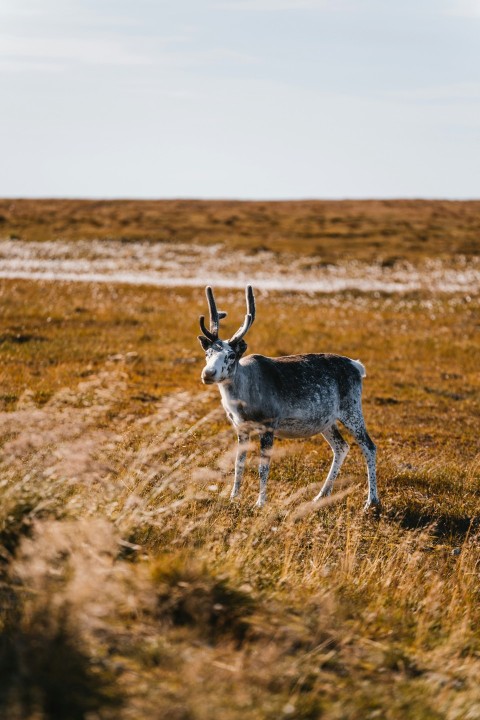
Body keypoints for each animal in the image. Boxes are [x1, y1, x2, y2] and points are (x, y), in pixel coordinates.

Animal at [197, 285, 379, 511]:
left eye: (231, 355)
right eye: (208, 353)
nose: (208, 373)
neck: (241, 401)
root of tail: (357, 366)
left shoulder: (269, 424)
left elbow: (263, 467)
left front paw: (260, 503)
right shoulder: (241, 427)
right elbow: (238, 463)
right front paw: (233, 497)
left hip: (352, 409)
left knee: (369, 446)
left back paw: (371, 502)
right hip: (326, 420)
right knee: (341, 446)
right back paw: (321, 495)